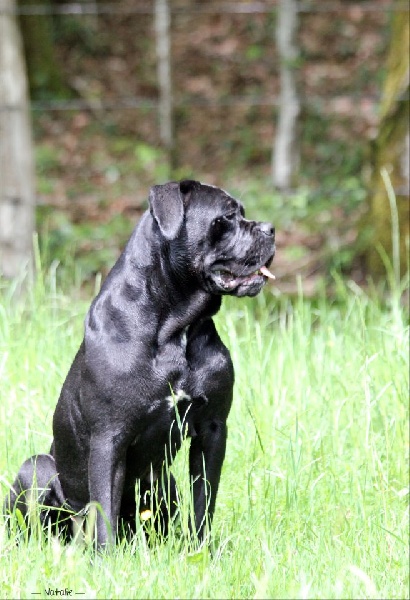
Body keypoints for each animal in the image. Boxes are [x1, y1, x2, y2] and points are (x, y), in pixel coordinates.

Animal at [4, 180, 276, 548]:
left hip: (164, 483)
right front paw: (106, 558)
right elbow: (104, 508)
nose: (270, 229)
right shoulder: (109, 437)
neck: (176, 328)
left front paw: (203, 549)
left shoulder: (213, 428)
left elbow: (204, 500)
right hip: (36, 468)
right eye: (226, 217)